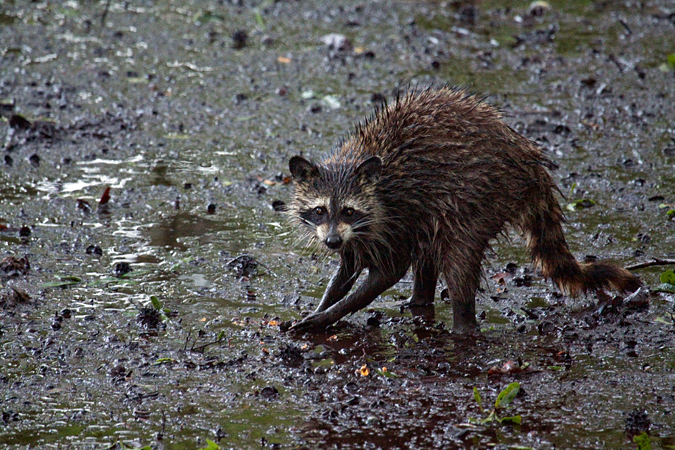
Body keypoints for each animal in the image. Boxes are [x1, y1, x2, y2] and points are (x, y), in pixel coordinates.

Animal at [288, 87, 640, 334]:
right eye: (319, 211)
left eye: (349, 211)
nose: (331, 242)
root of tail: (528, 159)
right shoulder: (359, 232)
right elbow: (347, 269)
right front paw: (324, 303)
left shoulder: (392, 215)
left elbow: (390, 270)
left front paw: (328, 315)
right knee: (429, 246)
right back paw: (419, 300)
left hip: (480, 196)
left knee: (458, 257)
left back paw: (462, 326)